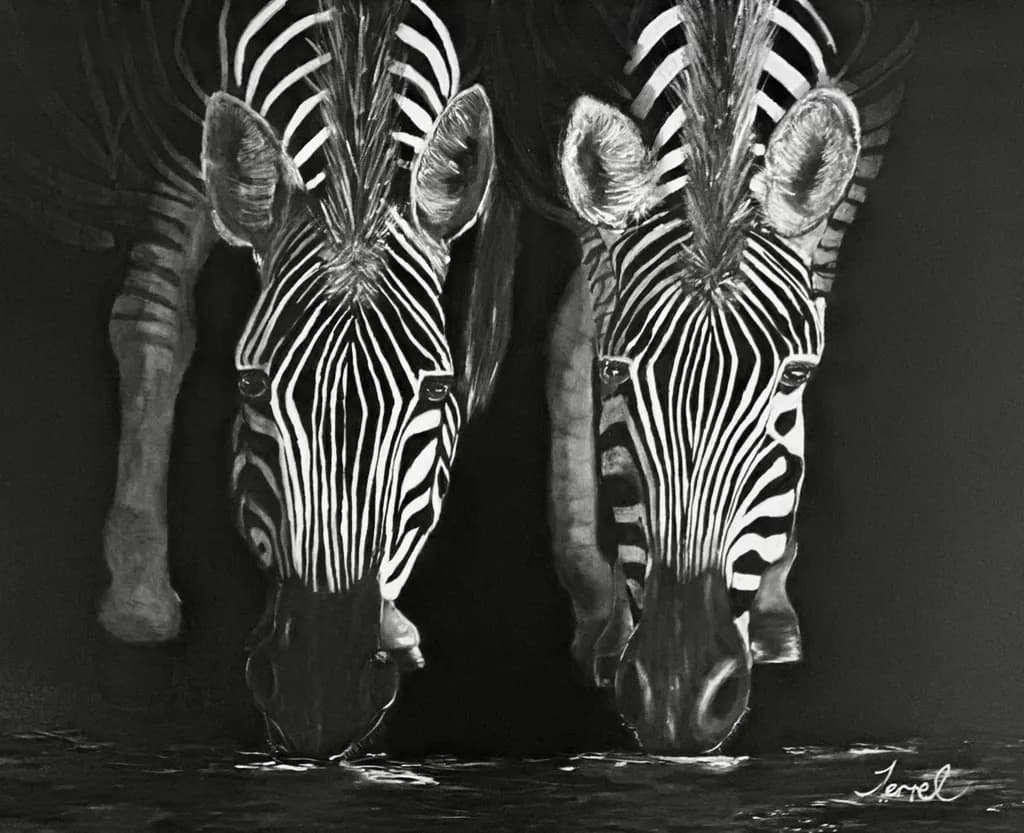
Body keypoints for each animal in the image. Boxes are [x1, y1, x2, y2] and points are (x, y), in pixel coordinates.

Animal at [0, 0, 510, 759]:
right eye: (251, 389)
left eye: (435, 392)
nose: (322, 698)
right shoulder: (170, 133)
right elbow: (153, 318)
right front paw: (138, 603)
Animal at [478, 0, 914, 753]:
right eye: (616, 372)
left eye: (796, 376)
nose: (679, 696)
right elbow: (582, 321)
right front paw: (601, 616)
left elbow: (820, 262)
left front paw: (771, 604)